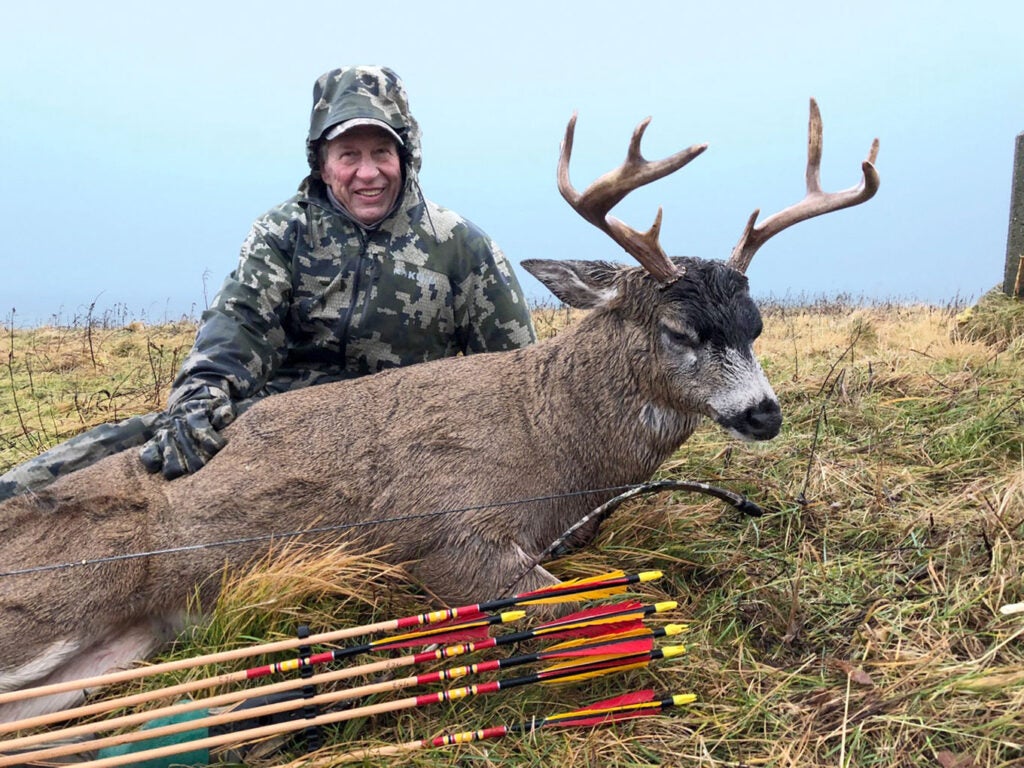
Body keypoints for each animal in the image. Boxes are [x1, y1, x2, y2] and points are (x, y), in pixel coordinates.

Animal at [2, 97, 880, 720]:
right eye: (681, 330)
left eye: (756, 325)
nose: (764, 413)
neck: (549, 434)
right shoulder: (445, 535)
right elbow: (585, 601)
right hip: (64, 596)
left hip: (118, 644)